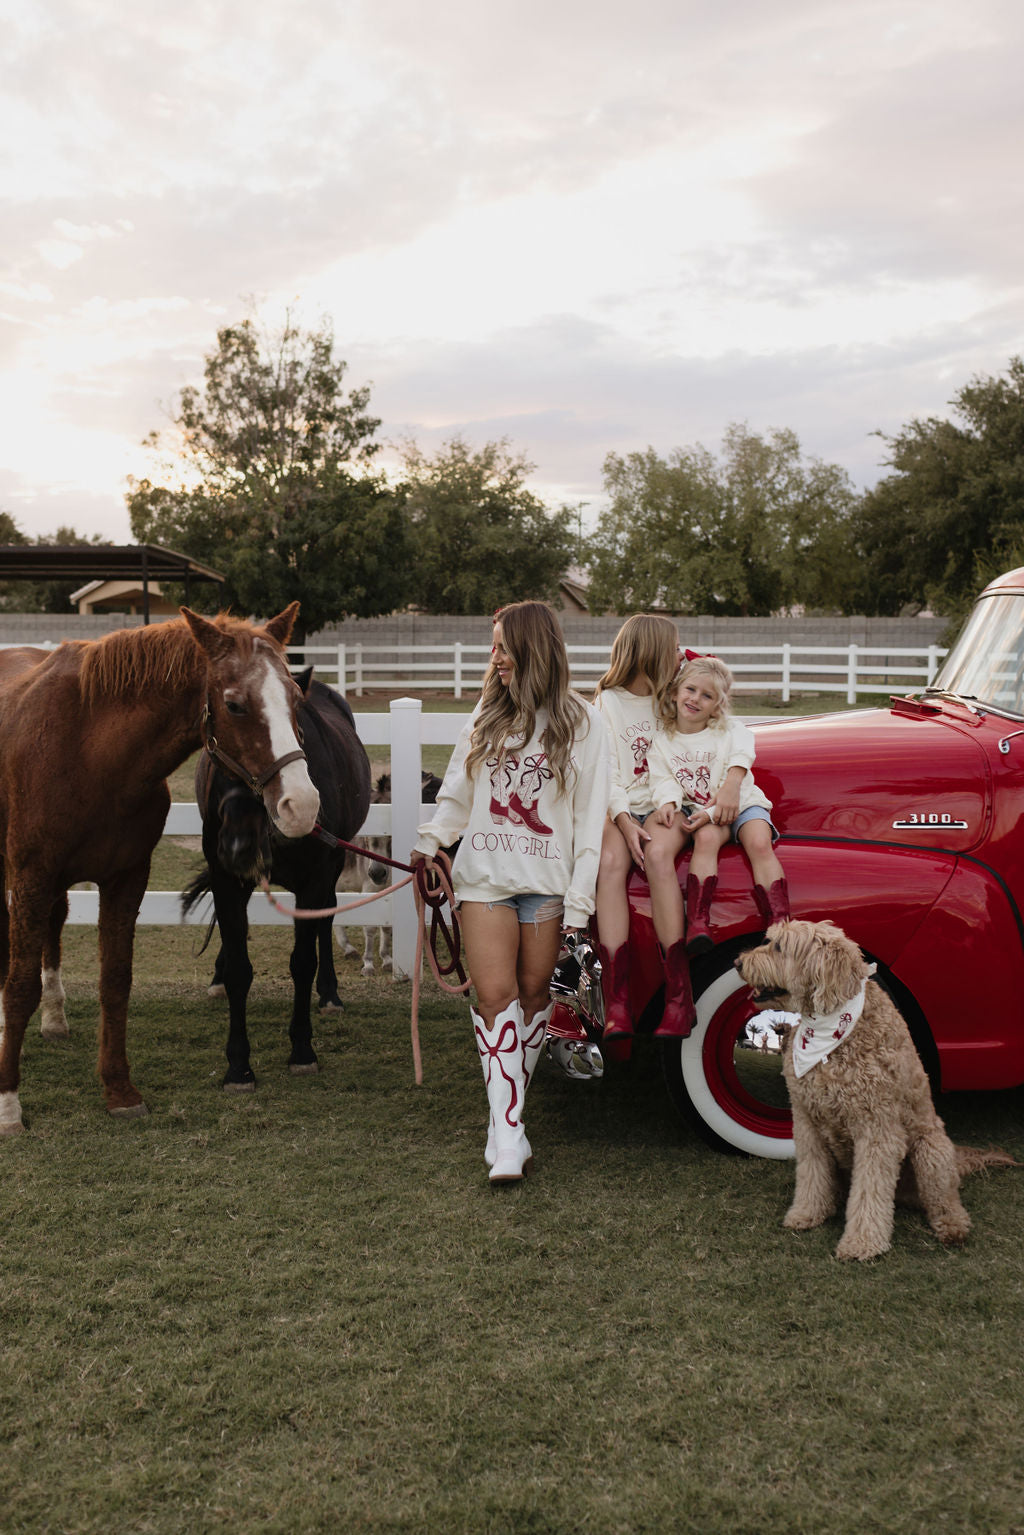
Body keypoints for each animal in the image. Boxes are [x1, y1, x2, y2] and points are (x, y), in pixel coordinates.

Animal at [0, 604, 320, 1135]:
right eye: (235, 705)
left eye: (297, 697)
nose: (303, 804)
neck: (87, 752)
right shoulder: (31, 877)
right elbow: (19, 986)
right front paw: (8, 1105)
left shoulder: (125, 879)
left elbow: (116, 981)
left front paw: (119, 1090)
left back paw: (54, 1020)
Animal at [181, 681, 369, 1092]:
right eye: (216, 761)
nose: (237, 845)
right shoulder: (228, 881)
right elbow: (239, 968)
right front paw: (238, 1066)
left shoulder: (315, 880)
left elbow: (303, 961)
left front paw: (302, 1050)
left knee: (327, 921)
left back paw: (329, 994)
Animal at [736, 921, 1019, 1258]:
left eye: (778, 946)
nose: (737, 962)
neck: (832, 1030)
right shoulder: (806, 1121)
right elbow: (812, 1174)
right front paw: (807, 1213)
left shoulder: (877, 1127)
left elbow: (870, 1189)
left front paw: (862, 1242)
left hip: (931, 1152)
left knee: (944, 1200)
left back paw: (952, 1226)